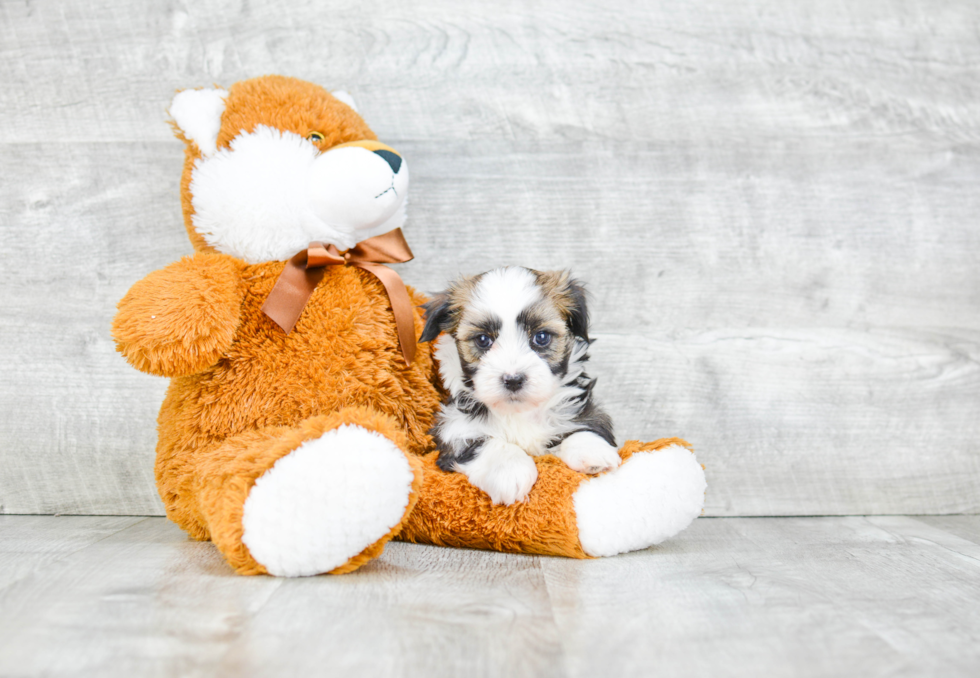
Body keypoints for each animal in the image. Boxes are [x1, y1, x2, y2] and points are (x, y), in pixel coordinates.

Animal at [420, 268, 620, 508]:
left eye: (541, 337)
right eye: (483, 340)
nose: (513, 379)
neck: (518, 412)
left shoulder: (578, 406)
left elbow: (584, 422)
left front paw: (592, 450)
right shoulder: (451, 426)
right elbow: (479, 442)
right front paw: (509, 471)